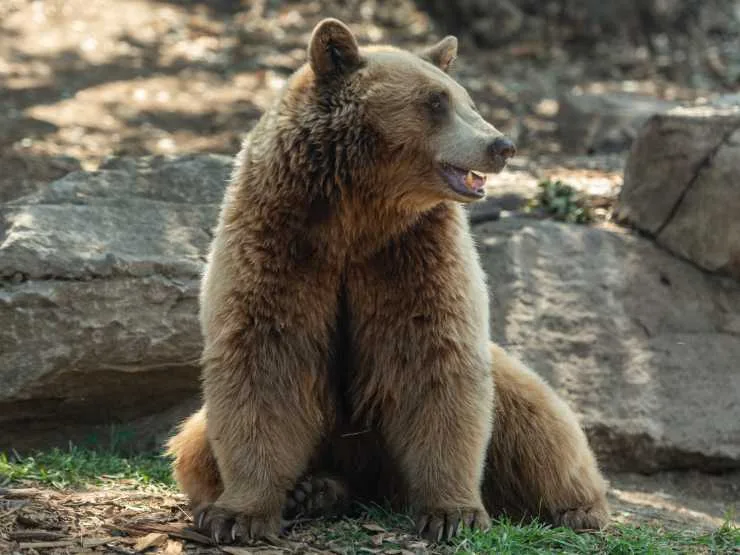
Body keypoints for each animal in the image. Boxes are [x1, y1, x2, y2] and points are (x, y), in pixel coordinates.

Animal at [166, 18, 609, 545]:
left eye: (466, 100)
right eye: (436, 102)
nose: (502, 145)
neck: (357, 214)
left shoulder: (413, 255)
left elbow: (436, 361)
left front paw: (452, 513)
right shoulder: (280, 242)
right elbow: (264, 361)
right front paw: (237, 515)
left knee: (538, 417)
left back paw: (581, 508)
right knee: (194, 439)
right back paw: (313, 490)